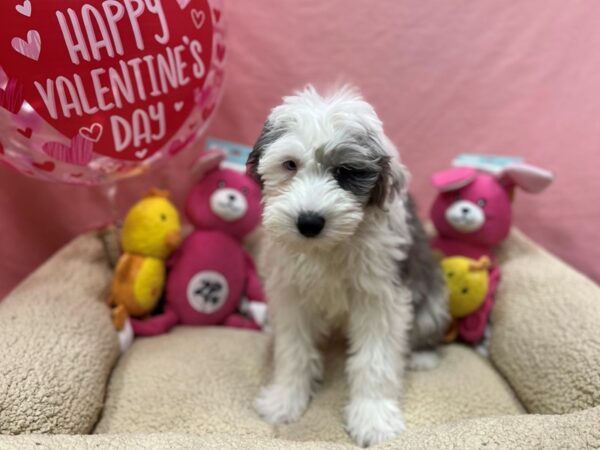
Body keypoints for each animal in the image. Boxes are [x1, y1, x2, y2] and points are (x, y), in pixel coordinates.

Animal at [246, 85, 448, 446]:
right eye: (290, 165)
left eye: (344, 173)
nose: (309, 222)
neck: (327, 248)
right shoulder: (290, 293)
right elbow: (293, 349)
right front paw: (285, 399)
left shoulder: (381, 296)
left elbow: (375, 360)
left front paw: (373, 417)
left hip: (432, 301)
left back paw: (421, 356)